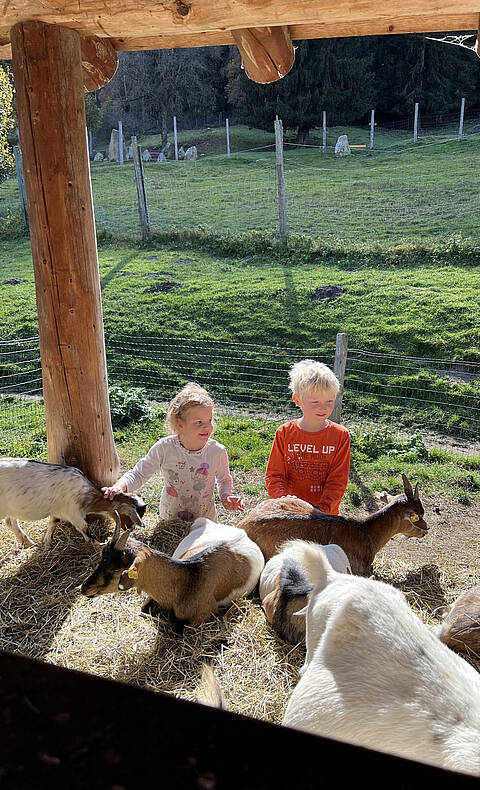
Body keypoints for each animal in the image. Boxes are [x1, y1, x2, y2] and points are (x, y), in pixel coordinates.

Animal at [0, 454, 146, 548]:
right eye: (129, 516)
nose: (130, 529)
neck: (87, 494)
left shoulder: (58, 511)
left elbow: (53, 523)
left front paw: (46, 544)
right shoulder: (74, 513)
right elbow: (86, 530)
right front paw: (99, 544)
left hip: (12, 507)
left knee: (10, 522)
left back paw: (28, 543)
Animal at [80, 516, 264, 628]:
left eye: (117, 568)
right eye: (102, 557)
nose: (84, 588)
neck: (189, 576)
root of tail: (242, 534)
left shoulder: (205, 613)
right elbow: (144, 609)